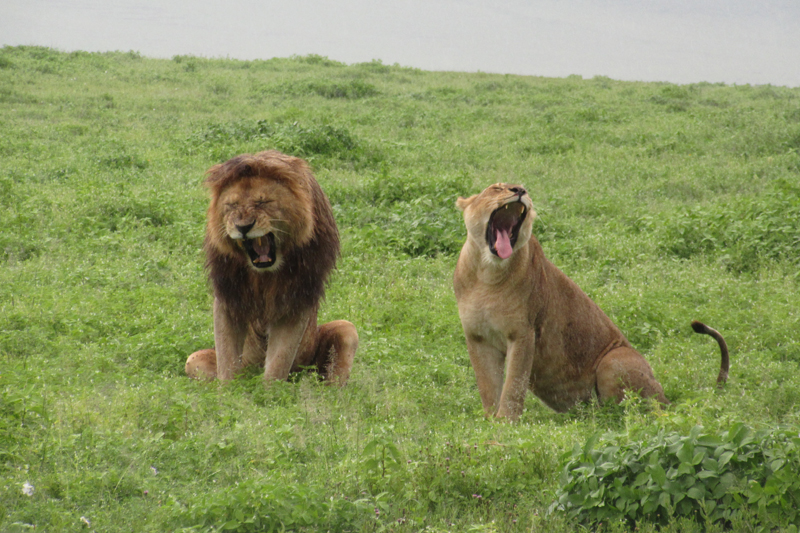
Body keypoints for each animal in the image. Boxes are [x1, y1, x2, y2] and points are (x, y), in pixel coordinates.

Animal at [184, 152, 360, 384]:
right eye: (232, 205)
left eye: (262, 202)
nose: (243, 227)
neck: (263, 275)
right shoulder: (228, 295)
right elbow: (227, 359)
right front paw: (229, 390)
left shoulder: (297, 299)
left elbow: (279, 361)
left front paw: (270, 392)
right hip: (193, 359)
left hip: (344, 329)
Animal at [454, 183, 728, 420]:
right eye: (496, 188)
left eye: (522, 188)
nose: (520, 190)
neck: (488, 275)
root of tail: (667, 400)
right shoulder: (477, 338)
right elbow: (488, 388)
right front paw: (490, 423)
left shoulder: (523, 334)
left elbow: (513, 386)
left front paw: (506, 426)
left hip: (613, 360)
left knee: (633, 411)